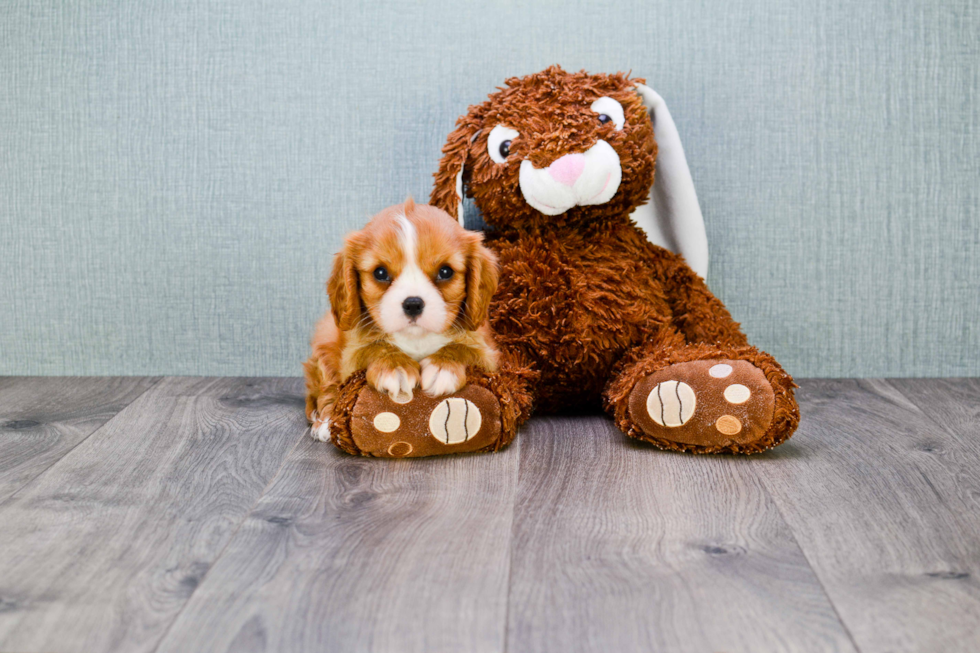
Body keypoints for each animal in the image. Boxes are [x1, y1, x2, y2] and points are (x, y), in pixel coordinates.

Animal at [302, 199, 502, 440]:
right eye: (380, 273)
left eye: (445, 271)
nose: (413, 303)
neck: (416, 339)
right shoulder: (351, 357)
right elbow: (375, 348)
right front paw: (394, 366)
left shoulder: (488, 354)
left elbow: (463, 348)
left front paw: (442, 366)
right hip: (326, 339)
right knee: (325, 386)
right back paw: (325, 422)